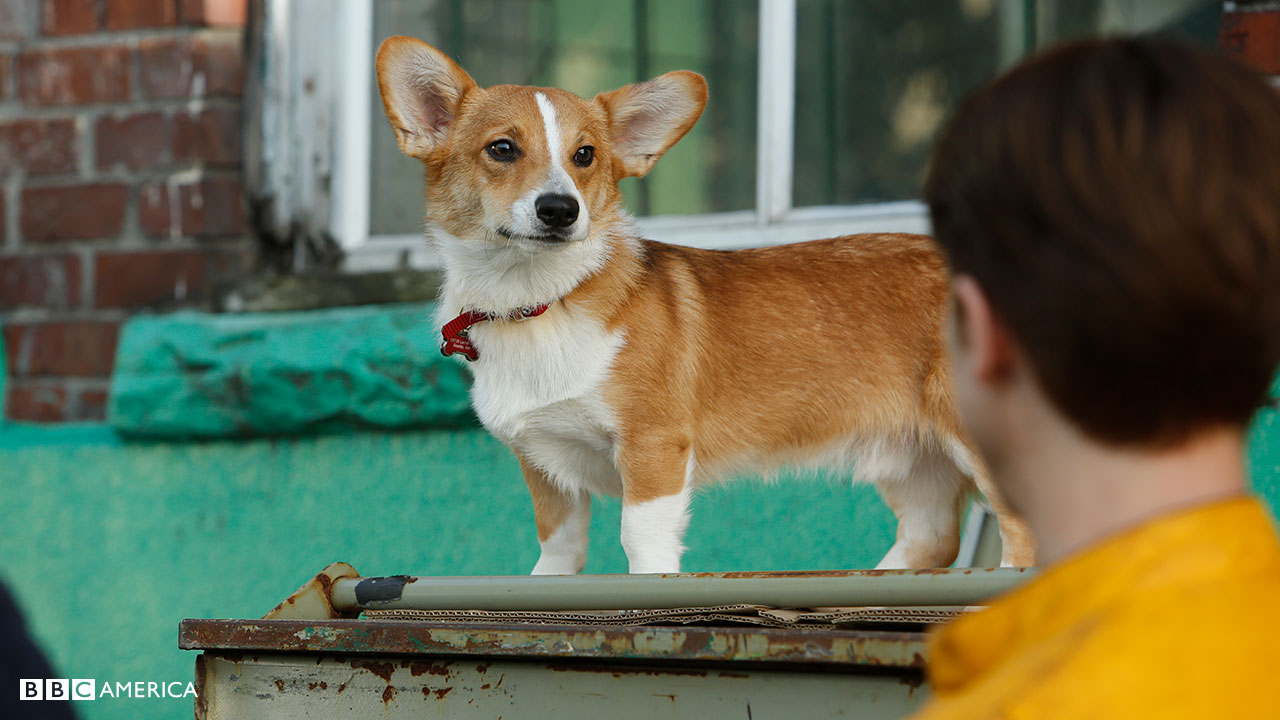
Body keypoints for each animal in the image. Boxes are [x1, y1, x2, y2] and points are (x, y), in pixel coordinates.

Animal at [373, 36, 1034, 571]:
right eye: (503, 149)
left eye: (585, 156)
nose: (560, 210)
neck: (538, 301)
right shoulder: (546, 469)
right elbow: (558, 553)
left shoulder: (653, 448)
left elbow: (640, 542)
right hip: (915, 462)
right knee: (931, 539)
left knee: (1022, 537)